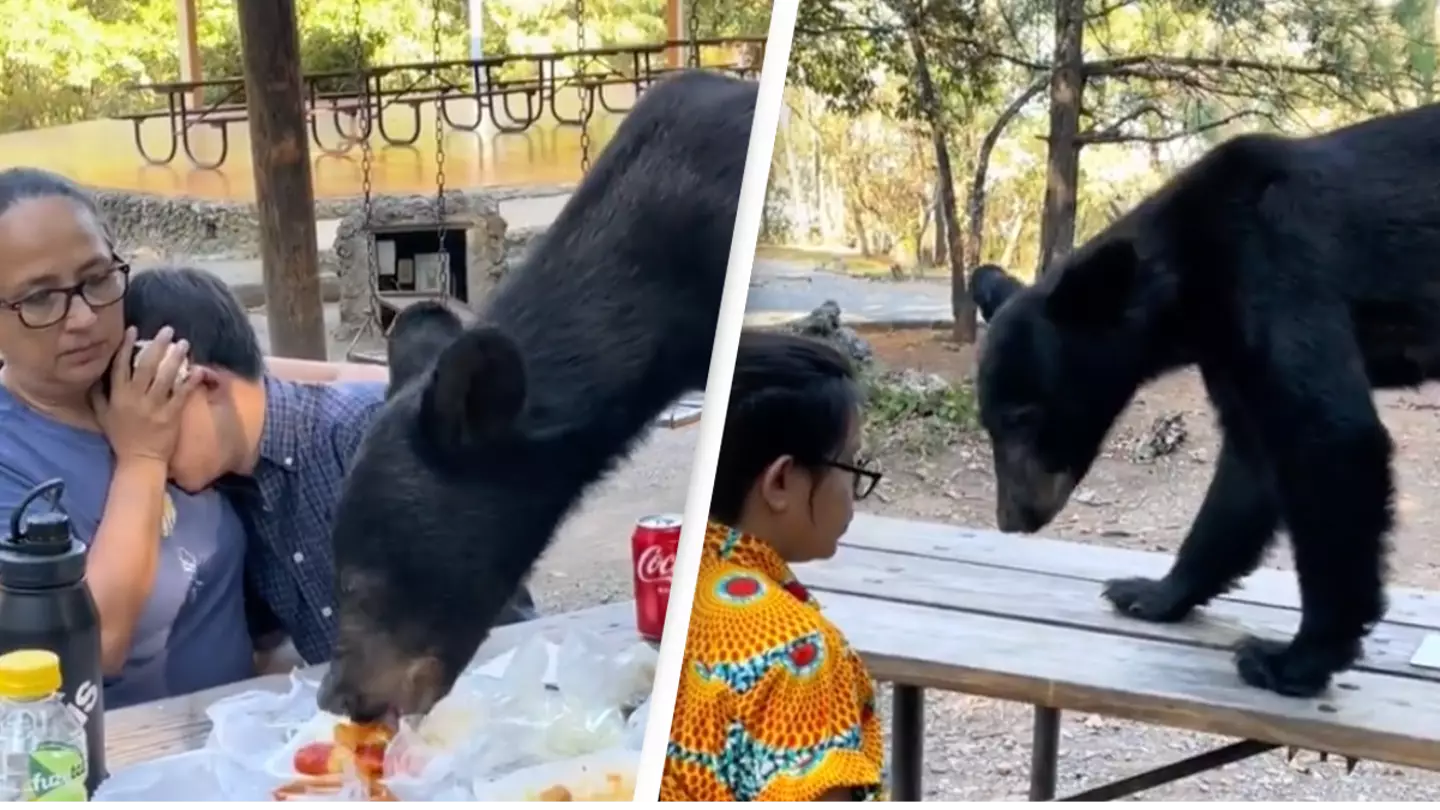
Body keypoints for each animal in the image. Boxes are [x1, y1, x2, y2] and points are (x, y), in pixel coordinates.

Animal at [961, 102, 1440, 694]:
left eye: (1024, 417)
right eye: (989, 422)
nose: (1013, 517)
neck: (1194, 279)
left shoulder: (1280, 274)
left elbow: (1332, 438)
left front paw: (1295, 657)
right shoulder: (1229, 350)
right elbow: (1248, 464)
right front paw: (1152, 592)